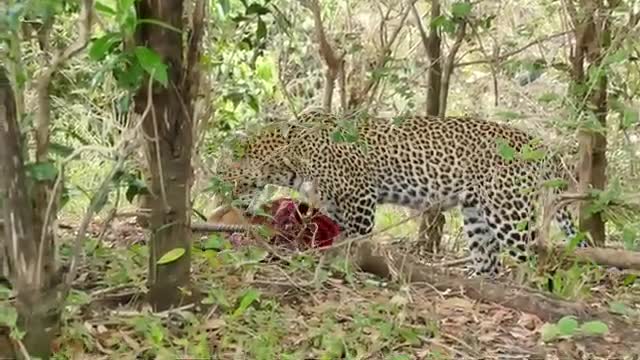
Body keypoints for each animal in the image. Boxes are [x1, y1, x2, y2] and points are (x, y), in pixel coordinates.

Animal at [214, 109, 580, 276]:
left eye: (222, 175)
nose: (221, 202)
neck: (285, 156)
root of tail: (538, 143)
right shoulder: (333, 206)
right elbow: (336, 235)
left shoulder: (359, 197)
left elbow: (356, 239)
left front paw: (349, 268)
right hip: (477, 213)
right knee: (488, 260)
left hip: (508, 210)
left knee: (535, 258)